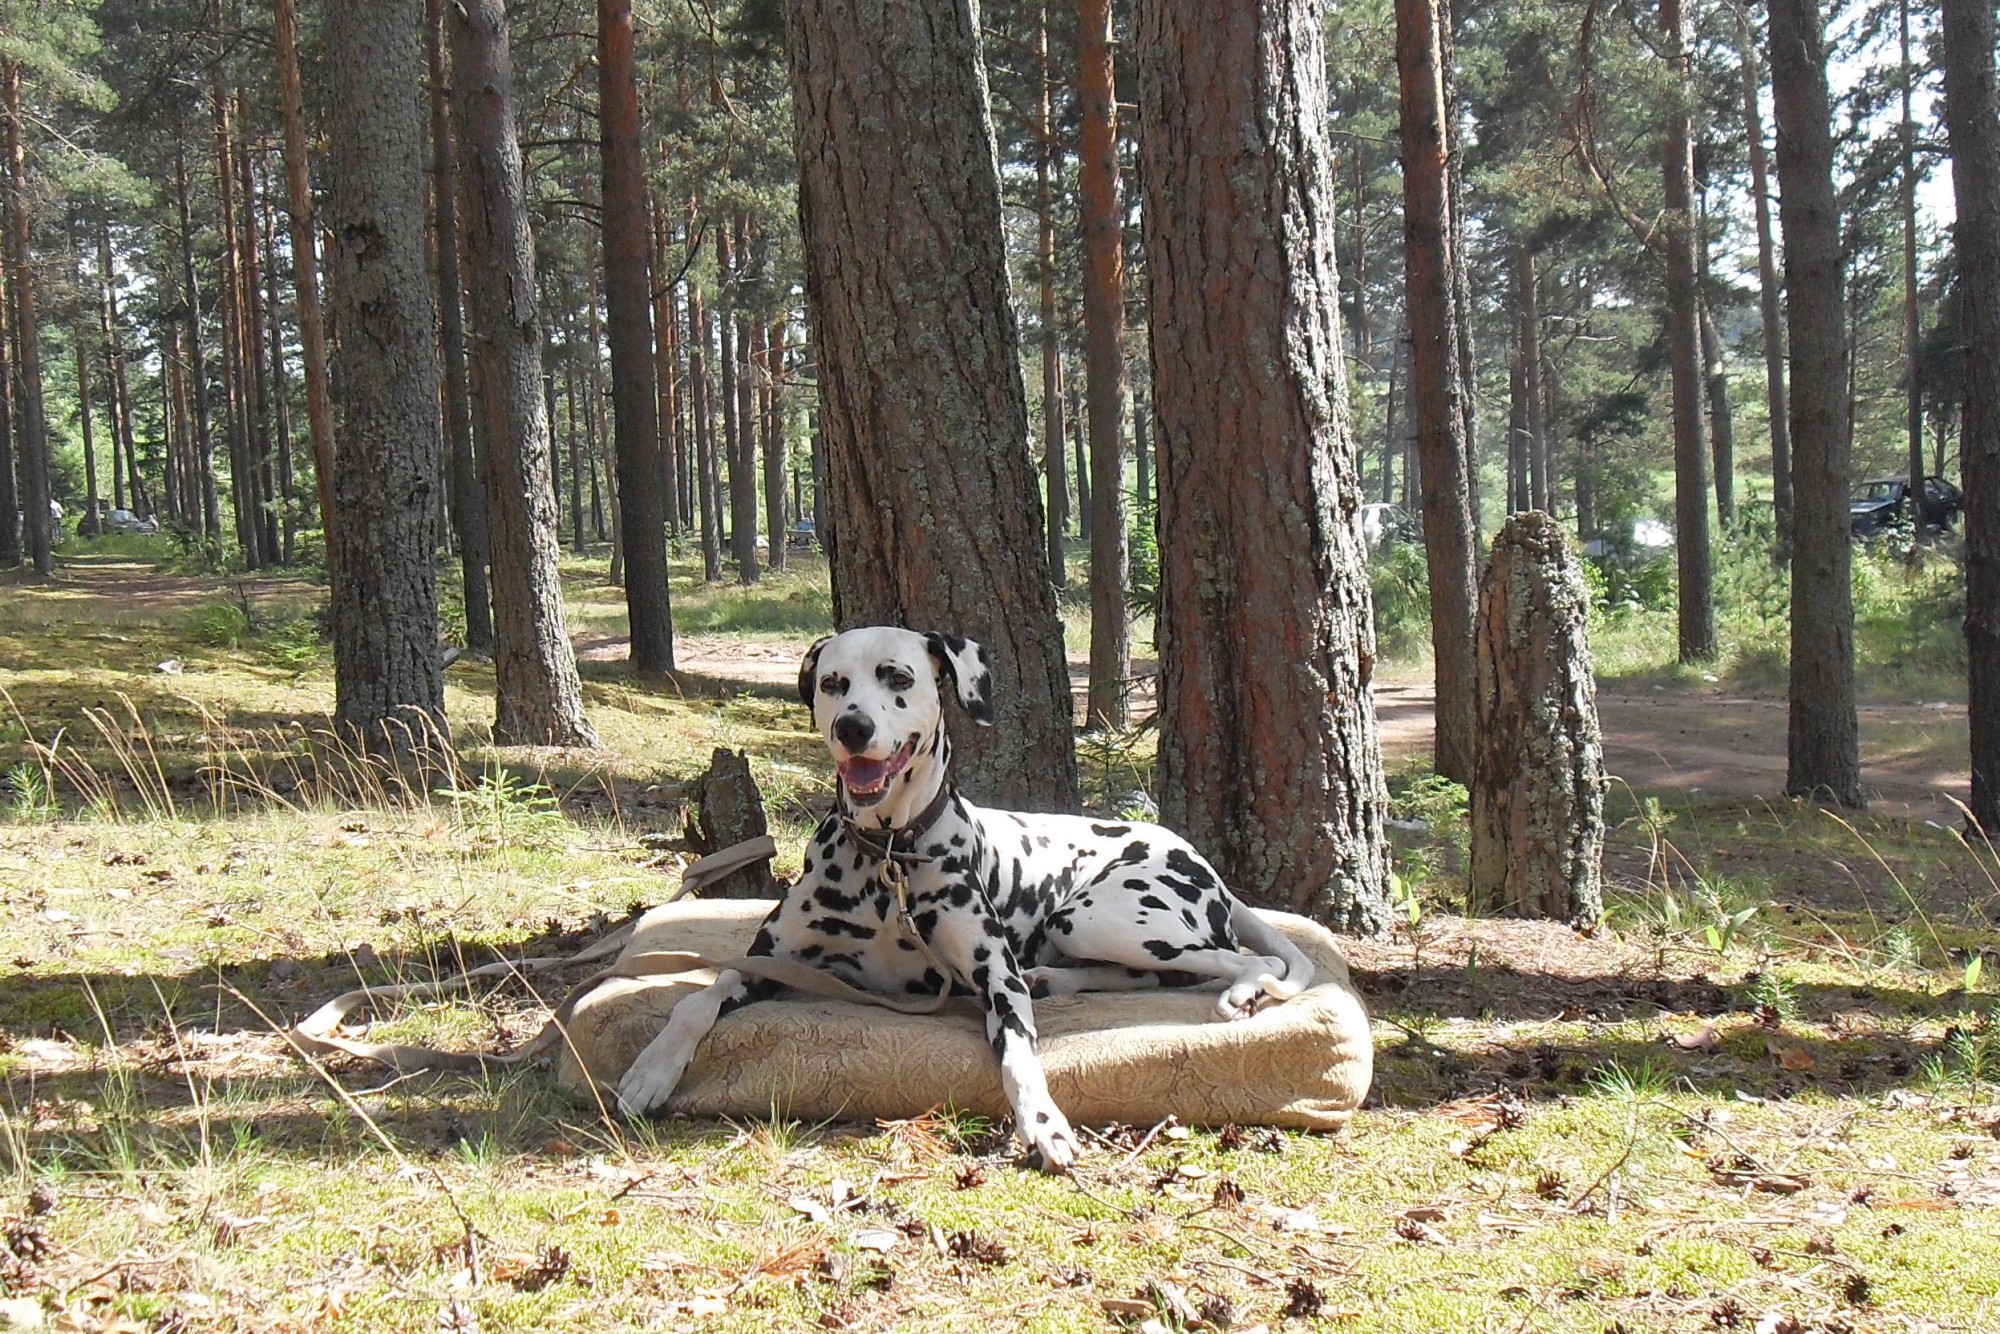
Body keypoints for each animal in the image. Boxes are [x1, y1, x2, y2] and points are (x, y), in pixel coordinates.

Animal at [620, 628, 1312, 1168]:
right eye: (833, 683)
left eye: (896, 676)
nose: (853, 726)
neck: (889, 855)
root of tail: (1198, 858)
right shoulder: (767, 961)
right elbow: (698, 999)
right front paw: (651, 1069)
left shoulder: (998, 985)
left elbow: (1020, 1058)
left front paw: (1043, 1123)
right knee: (1151, 975)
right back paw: (1059, 980)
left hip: (1099, 918)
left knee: (1247, 960)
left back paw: (1240, 994)